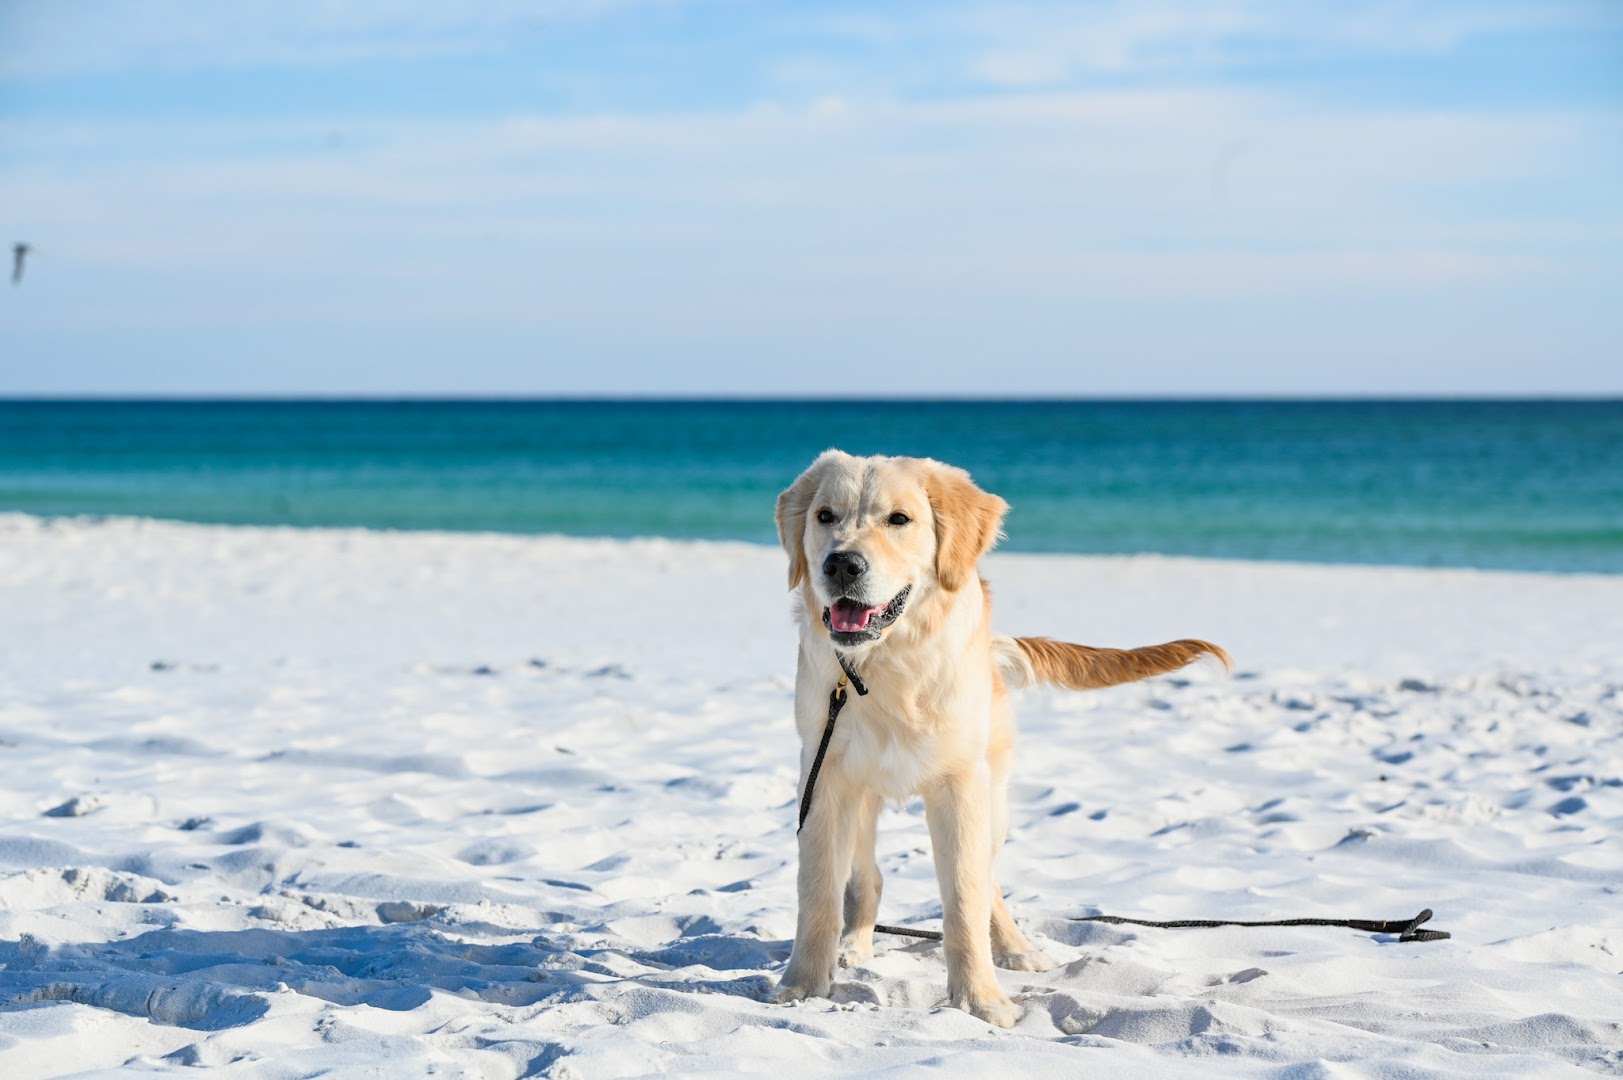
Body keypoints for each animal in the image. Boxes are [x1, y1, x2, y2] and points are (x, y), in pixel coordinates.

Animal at [772, 451, 1226, 1026]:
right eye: (825, 516)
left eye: (899, 519)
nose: (841, 565)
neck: (887, 665)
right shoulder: (824, 780)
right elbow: (818, 893)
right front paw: (804, 985)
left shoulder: (961, 783)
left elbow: (965, 900)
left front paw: (981, 1000)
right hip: (864, 800)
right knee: (867, 878)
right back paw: (854, 945)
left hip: (993, 796)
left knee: (987, 883)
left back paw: (1015, 949)